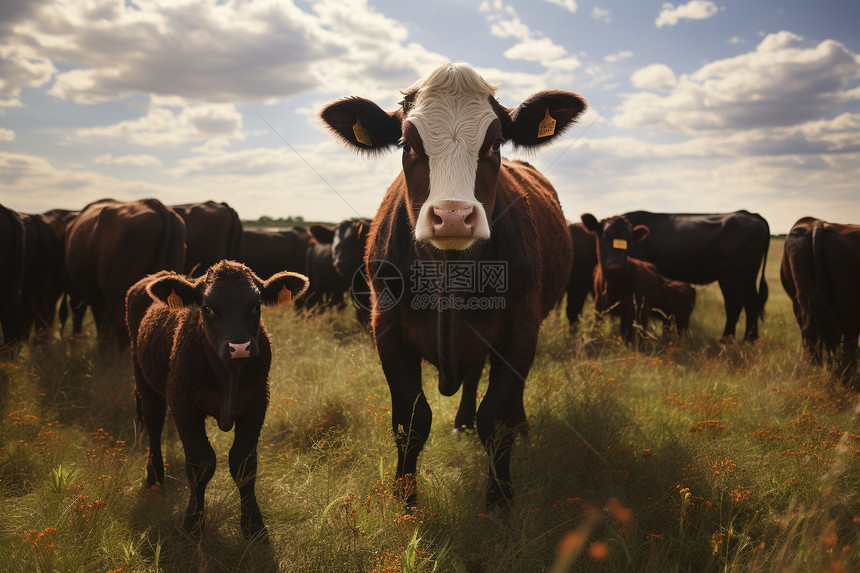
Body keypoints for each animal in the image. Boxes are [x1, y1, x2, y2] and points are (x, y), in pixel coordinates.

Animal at [124, 262, 306, 540]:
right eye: (207, 308)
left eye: (257, 305)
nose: (239, 347)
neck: (229, 375)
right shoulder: (183, 402)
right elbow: (200, 462)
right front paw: (192, 524)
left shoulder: (257, 401)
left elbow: (244, 463)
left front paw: (254, 527)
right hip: (144, 379)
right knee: (153, 425)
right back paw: (154, 477)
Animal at [320, 62, 588, 510]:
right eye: (407, 144)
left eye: (495, 144)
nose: (452, 216)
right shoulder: (385, 325)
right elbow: (412, 418)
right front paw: (405, 502)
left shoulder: (521, 325)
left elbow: (496, 415)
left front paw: (500, 503)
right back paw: (460, 423)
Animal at [780, 217, 860, 386]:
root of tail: (819, 225)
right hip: (850, 307)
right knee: (849, 343)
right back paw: (848, 379)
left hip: (799, 302)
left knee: (809, 333)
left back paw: (812, 372)